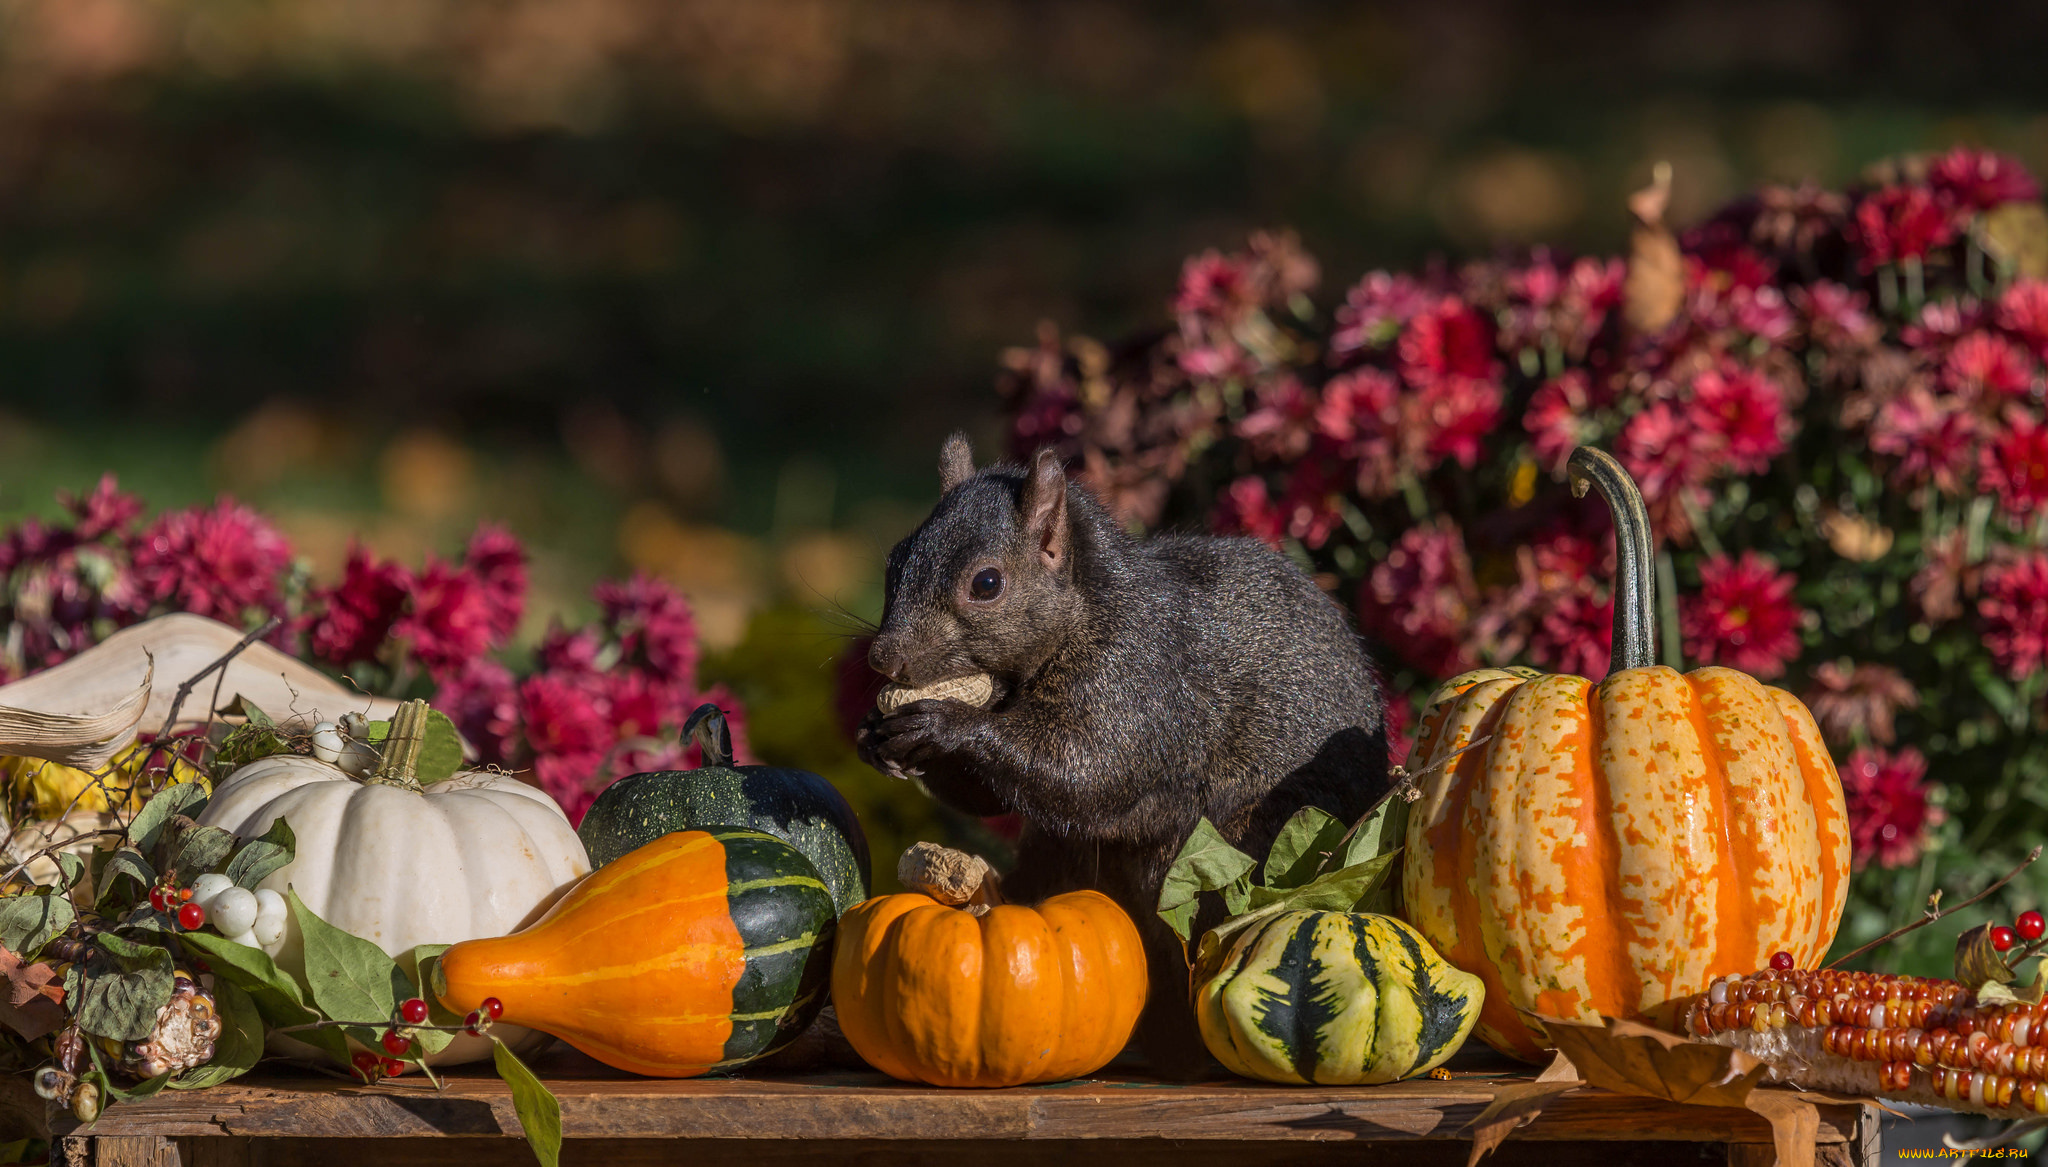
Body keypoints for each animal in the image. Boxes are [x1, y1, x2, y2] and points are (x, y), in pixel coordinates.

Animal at [847, 436, 1392, 1072]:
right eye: (894, 561)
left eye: (986, 583)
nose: (884, 658)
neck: (1087, 613)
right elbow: (992, 796)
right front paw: (877, 737)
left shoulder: (1135, 678)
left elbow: (1086, 770)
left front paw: (946, 723)